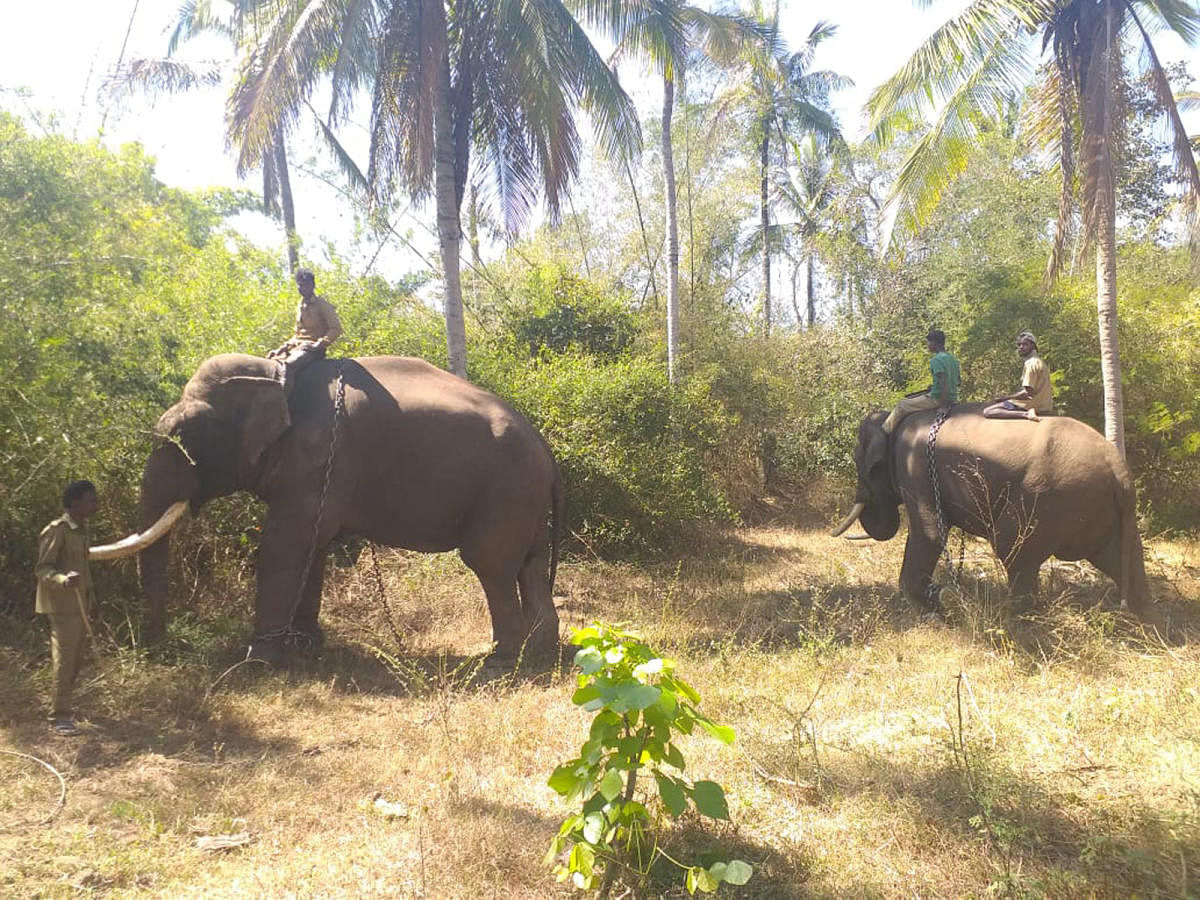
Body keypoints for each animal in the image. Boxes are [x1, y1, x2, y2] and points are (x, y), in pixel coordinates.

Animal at [92, 355, 561, 662]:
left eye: (182, 436)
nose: (158, 648)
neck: (279, 377)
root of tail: (543, 445)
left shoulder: (316, 454)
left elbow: (286, 543)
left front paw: (259, 659)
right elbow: (312, 545)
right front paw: (305, 645)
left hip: (508, 488)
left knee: (490, 563)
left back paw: (501, 660)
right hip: (525, 495)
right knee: (530, 566)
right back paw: (542, 650)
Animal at [830, 408, 1156, 624]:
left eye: (861, 463)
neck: (893, 419)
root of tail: (1119, 469)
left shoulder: (915, 467)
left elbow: (931, 533)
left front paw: (935, 609)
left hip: (1050, 496)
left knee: (1011, 546)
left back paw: (1015, 621)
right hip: (1099, 507)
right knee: (1121, 556)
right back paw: (1145, 620)